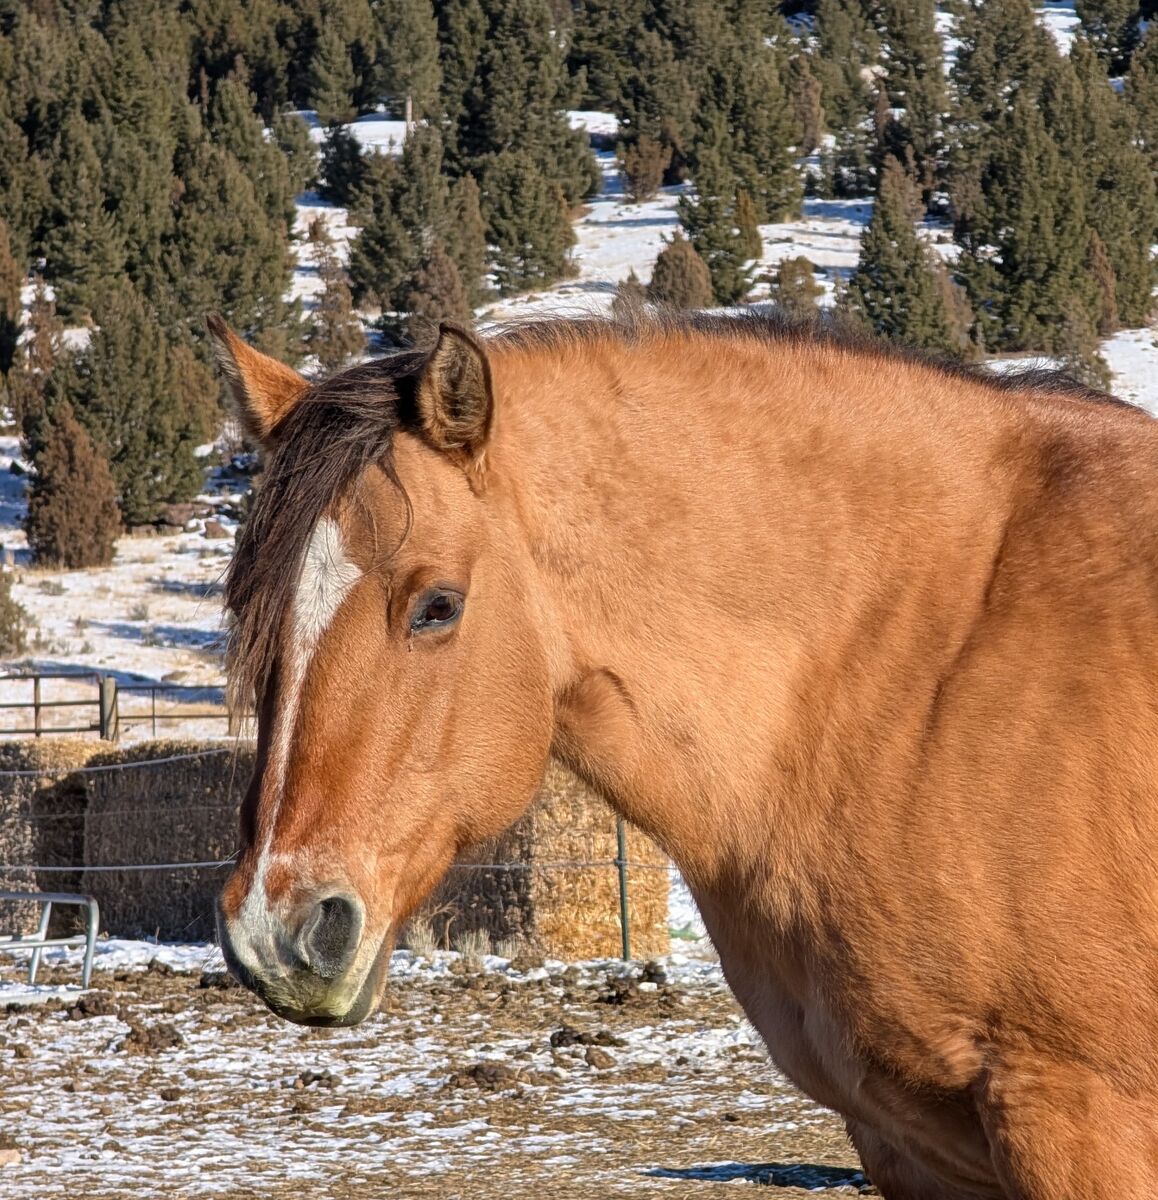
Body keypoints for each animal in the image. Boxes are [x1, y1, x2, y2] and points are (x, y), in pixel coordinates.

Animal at [209, 308, 1158, 1199]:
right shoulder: (910, 1148)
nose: (275, 932)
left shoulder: (1075, 1120)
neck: (927, 661)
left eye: (436, 606)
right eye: (253, 613)